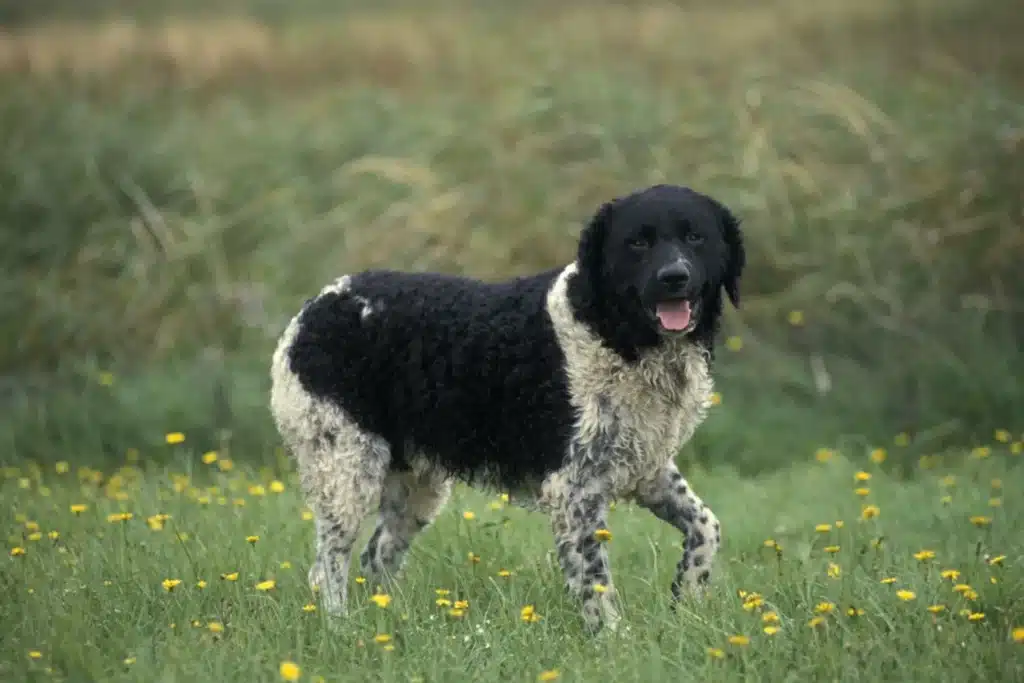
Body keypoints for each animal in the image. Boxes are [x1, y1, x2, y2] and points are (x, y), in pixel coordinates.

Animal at [270, 184, 745, 634]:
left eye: (696, 237)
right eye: (637, 242)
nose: (674, 277)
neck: (614, 333)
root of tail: (315, 307)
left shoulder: (646, 467)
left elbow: (707, 527)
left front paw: (687, 599)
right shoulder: (573, 488)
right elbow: (596, 583)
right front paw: (615, 643)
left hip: (414, 488)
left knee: (375, 559)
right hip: (346, 469)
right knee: (328, 568)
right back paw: (343, 631)